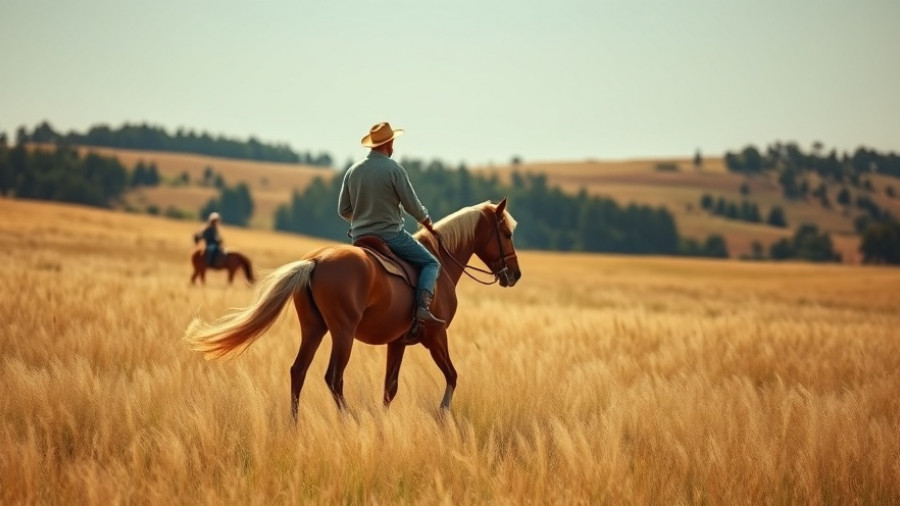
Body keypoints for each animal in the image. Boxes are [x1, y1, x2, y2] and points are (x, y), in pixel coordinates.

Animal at [184, 199, 521, 418]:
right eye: (506, 233)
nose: (515, 275)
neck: (440, 262)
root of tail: (316, 261)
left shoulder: (398, 342)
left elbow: (390, 388)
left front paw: (385, 423)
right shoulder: (436, 336)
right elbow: (452, 376)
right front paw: (442, 414)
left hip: (314, 330)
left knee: (298, 371)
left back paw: (295, 425)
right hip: (343, 333)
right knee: (333, 378)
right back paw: (350, 420)